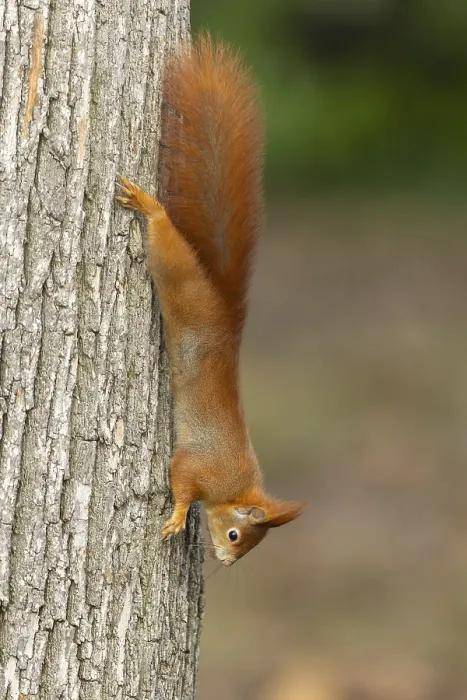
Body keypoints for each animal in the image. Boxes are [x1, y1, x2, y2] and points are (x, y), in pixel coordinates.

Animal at [116, 34, 305, 565]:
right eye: (238, 536)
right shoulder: (197, 463)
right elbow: (181, 484)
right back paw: (150, 207)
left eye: (246, 547)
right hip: (178, 278)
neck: (236, 485)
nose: (225, 560)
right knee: (165, 240)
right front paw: (179, 518)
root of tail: (225, 309)